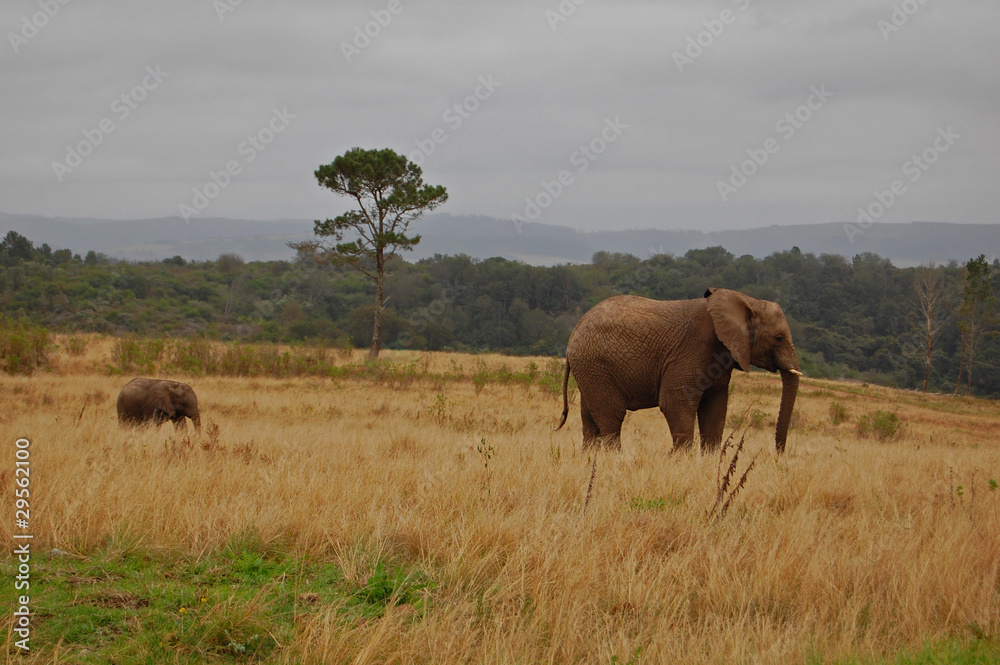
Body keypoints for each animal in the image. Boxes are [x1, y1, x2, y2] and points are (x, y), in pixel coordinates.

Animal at [556, 288, 801, 453]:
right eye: (779, 338)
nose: (778, 455)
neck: (746, 301)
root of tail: (574, 332)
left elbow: (715, 407)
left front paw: (709, 459)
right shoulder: (692, 350)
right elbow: (675, 401)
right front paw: (678, 458)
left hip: (590, 369)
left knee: (589, 419)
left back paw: (590, 457)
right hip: (596, 365)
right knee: (611, 416)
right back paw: (613, 459)